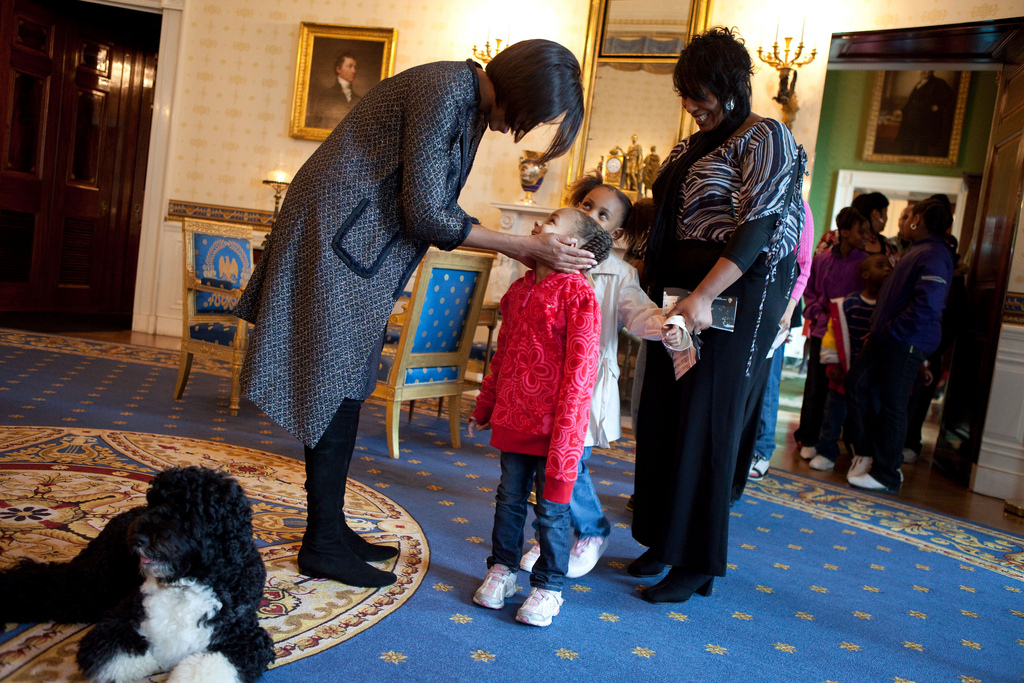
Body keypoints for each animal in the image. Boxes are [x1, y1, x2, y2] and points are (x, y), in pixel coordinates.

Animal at [0, 466, 276, 679]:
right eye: (154, 502)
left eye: (185, 511)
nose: (139, 537)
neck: (184, 584)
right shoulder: (118, 624)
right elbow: (118, 658)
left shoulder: (246, 641)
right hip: (94, 585)